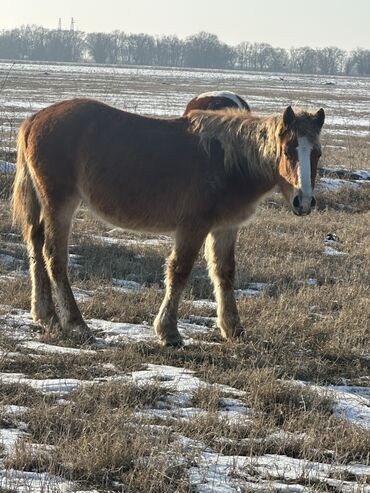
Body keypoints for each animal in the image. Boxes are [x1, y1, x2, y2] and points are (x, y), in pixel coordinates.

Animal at [11, 99, 324, 346]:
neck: (227, 161)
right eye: (288, 150)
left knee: (36, 248)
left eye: (317, 153)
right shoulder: (193, 227)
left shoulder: (225, 228)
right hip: (60, 205)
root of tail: (33, 119)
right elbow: (180, 271)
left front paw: (233, 328)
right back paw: (76, 322)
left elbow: (224, 272)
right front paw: (169, 331)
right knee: (55, 257)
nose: (304, 201)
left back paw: (47, 316)